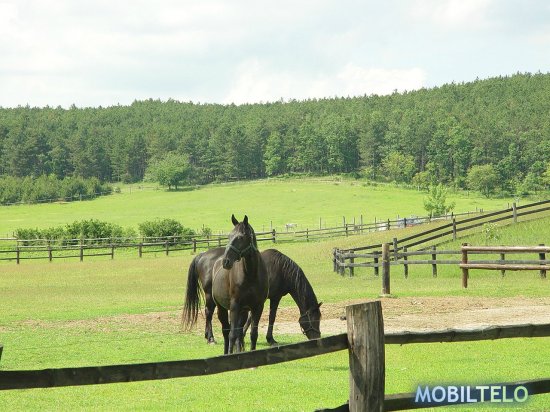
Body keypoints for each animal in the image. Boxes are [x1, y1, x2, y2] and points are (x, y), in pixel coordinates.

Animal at [183, 215, 268, 354]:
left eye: (240, 237)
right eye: (229, 236)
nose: (226, 261)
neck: (251, 275)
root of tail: (201, 255)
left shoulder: (257, 307)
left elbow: (252, 334)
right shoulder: (234, 306)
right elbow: (232, 334)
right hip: (217, 304)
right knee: (221, 326)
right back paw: (212, 339)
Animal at [183, 246, 322, 346]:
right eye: (313, 320)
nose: (317, 338)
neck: (281, 270)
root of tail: (202, 255)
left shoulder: (272, 298)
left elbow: (268, 317)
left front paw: (267, 338)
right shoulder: (265, 299)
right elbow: (258, 318)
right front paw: (249, 335)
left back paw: (207, 336)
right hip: (209, 295)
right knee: (209, 313)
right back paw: (210, 338)